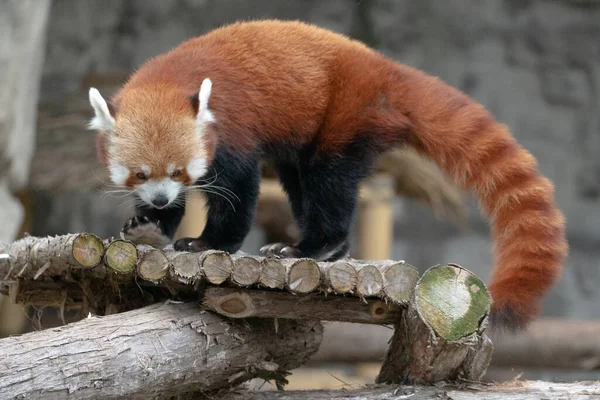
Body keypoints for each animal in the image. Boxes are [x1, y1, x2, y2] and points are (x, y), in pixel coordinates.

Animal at [88, 19, 568, 332]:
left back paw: (318, 245)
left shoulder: (233, 130)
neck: (170, 79)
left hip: (345, 114)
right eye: (140, 174)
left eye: (179, 170)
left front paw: (208, 242)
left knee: (329, 181)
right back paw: (315, 247)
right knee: (301, 181)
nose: (160, 199)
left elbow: (238, 193)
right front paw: (149, 224)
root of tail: (384, 68)